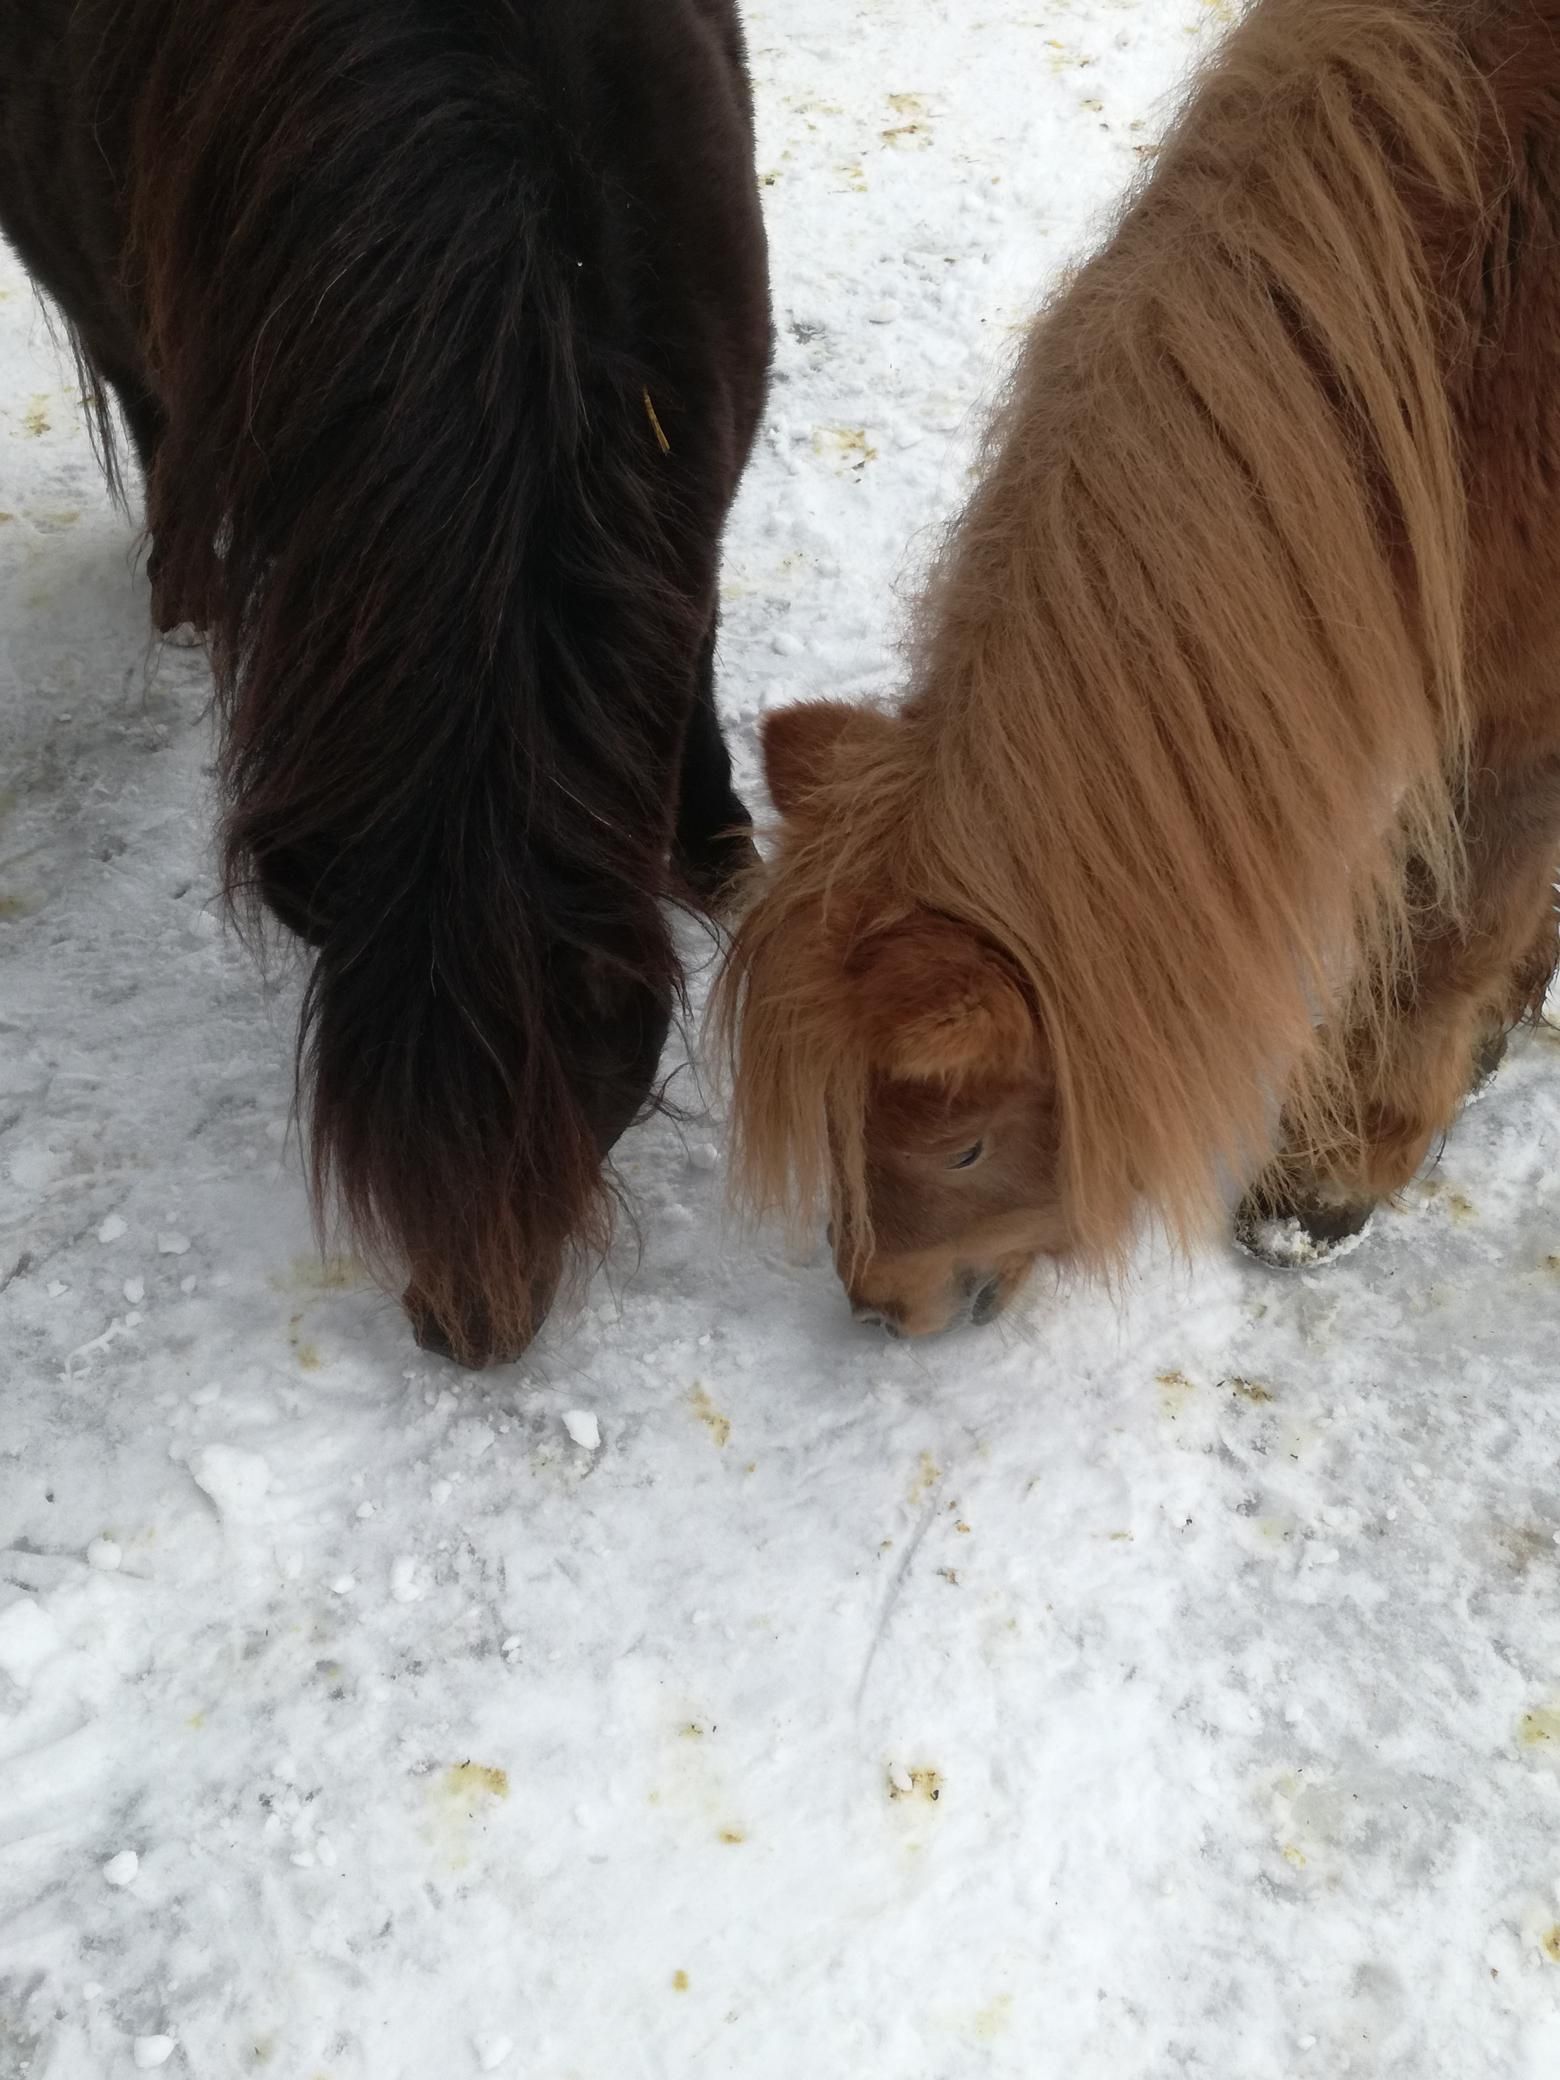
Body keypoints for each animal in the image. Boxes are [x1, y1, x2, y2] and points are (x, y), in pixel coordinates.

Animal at [0, 0, 771, 1366]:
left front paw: (724, 852)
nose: (467, 1329)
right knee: (149, 413)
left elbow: (696, 655)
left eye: (592, 1046)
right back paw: (186, 599)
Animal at [715, 0, 1560, 1339]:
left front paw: (1335, 1175)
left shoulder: (1511, 729)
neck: (1463, 343)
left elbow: (1452, 934)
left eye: (961, 1147)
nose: (883, 1308)